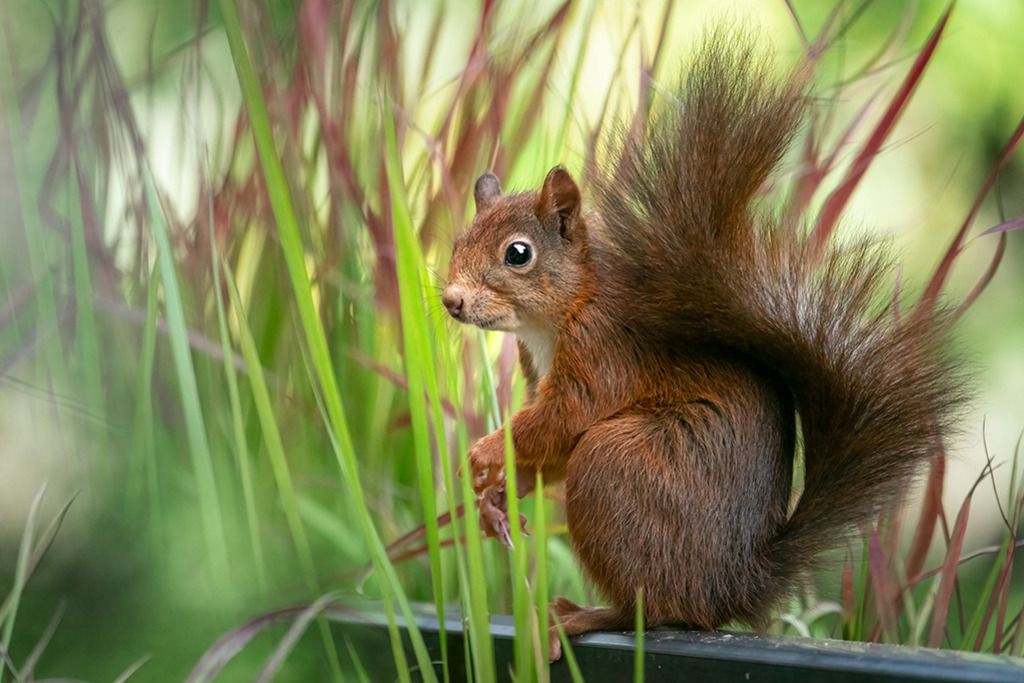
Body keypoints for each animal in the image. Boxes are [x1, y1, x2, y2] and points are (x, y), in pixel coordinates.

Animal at [441, 28, 963, 661]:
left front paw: (484, 453)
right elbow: (550, 449)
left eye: (518, 253)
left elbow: (565, 418)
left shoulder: (603, 350)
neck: (554, 317)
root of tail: (732, 587)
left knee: (653, 607)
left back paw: (579, 617)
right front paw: (496, 496)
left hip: (619, 467)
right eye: (459, 242)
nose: (451, 301)